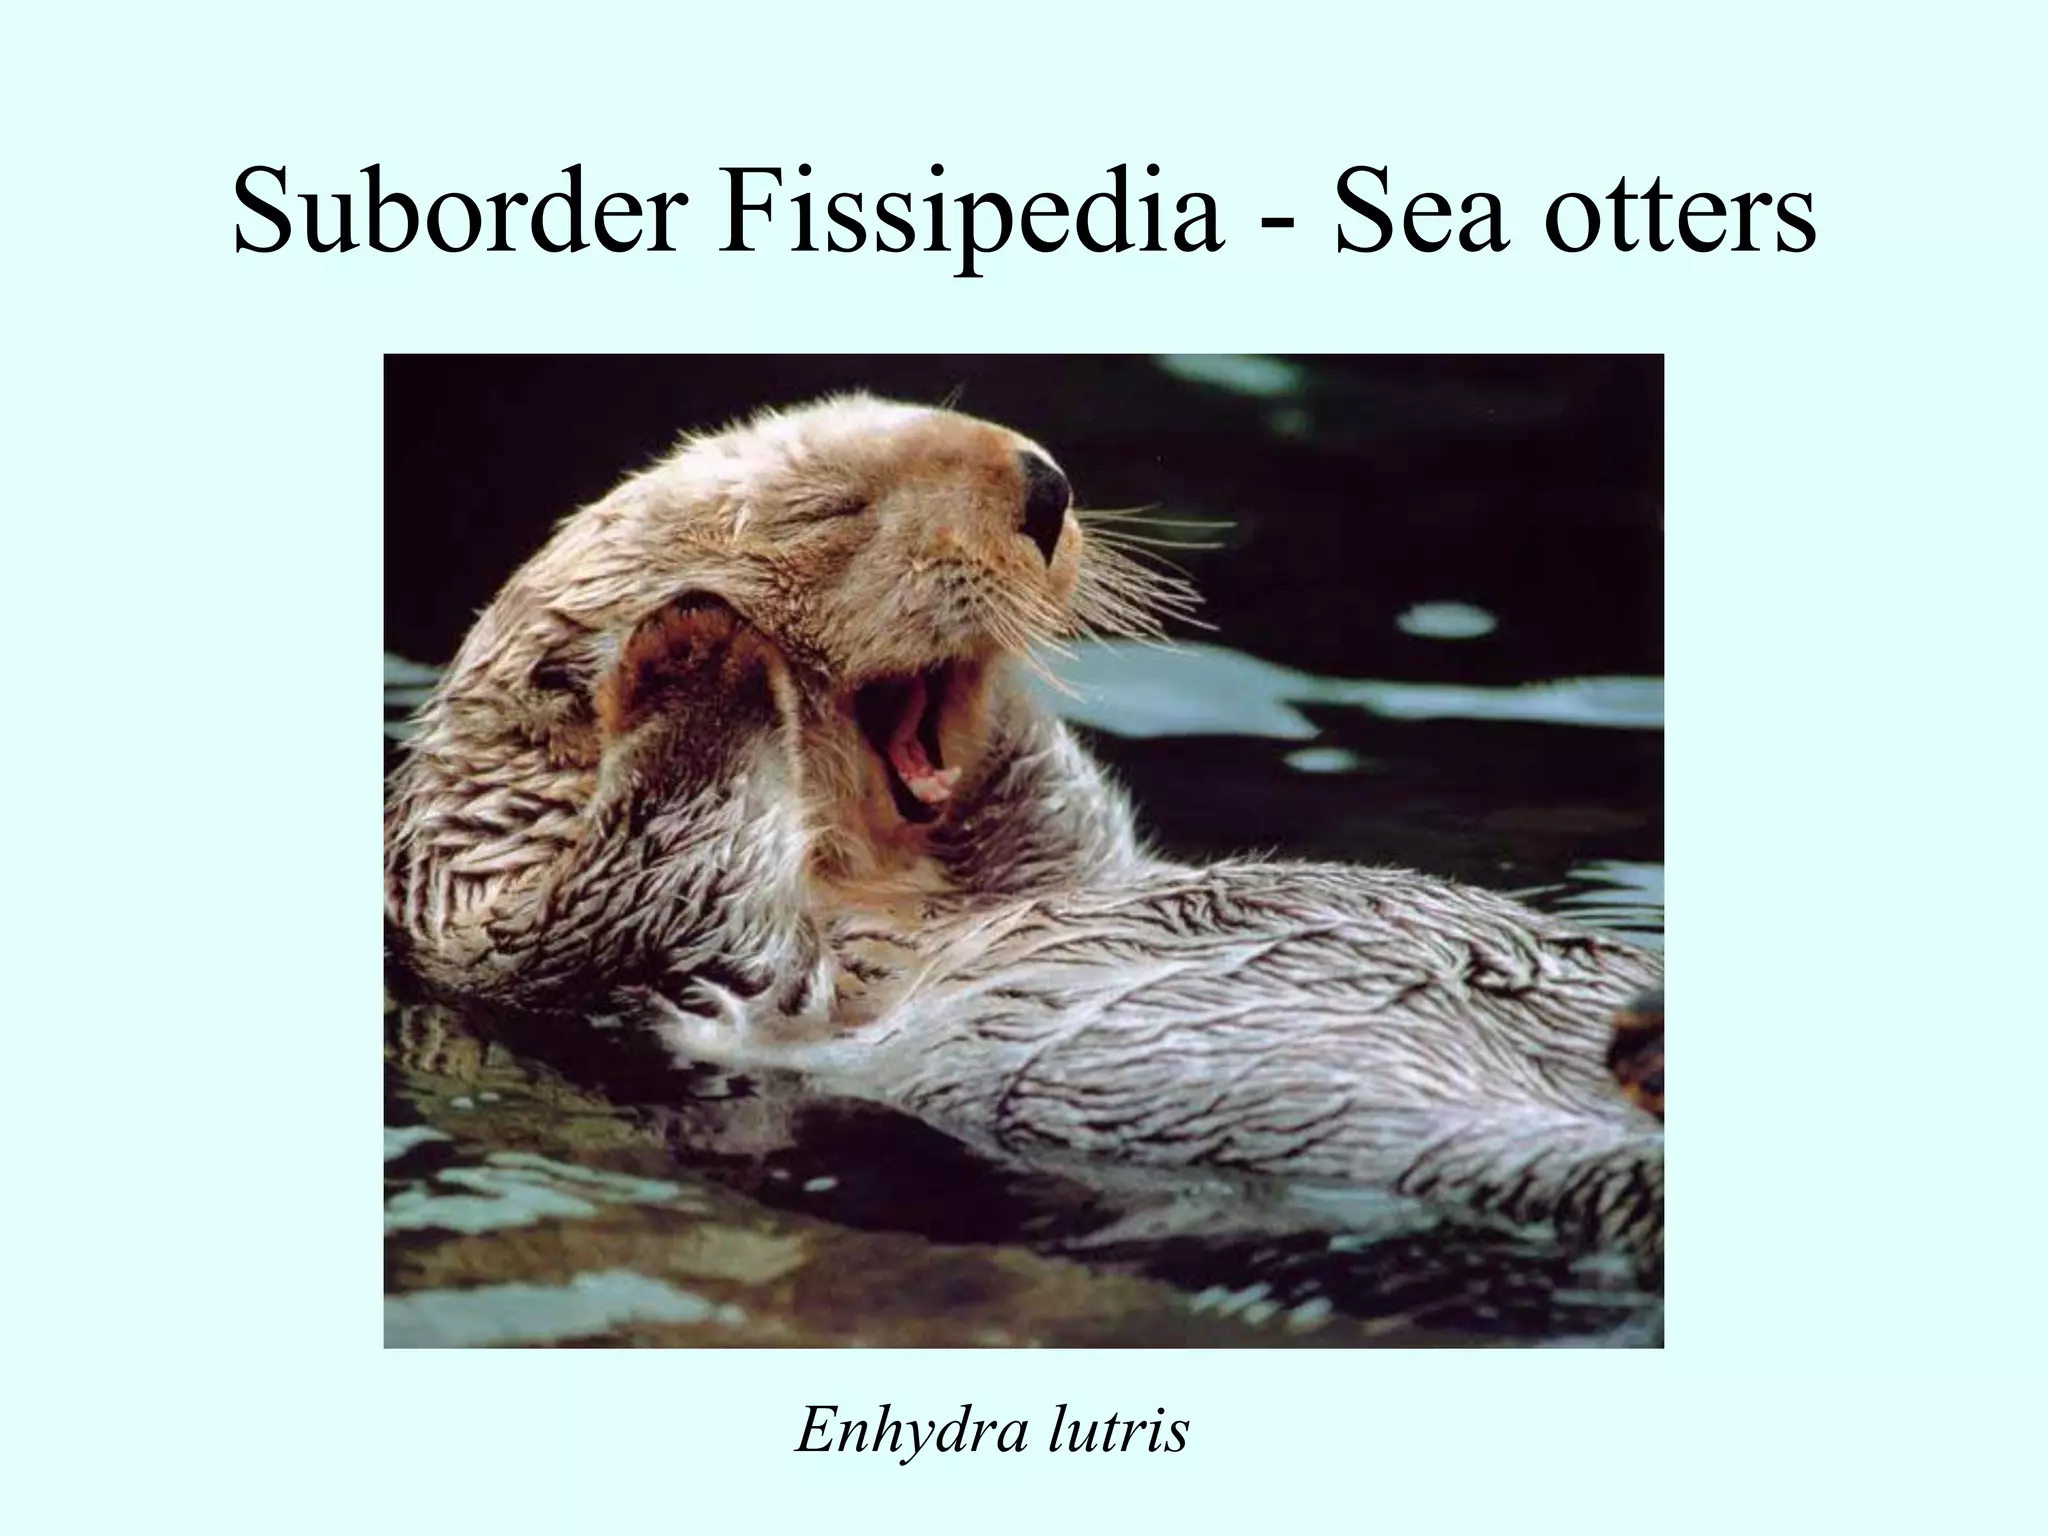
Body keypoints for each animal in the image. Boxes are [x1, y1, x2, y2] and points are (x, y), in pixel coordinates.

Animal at [384, 394, 1665, 1268]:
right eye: (827, 510)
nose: (1043, 484)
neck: (881, 884)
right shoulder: (594, 949)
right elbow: (653, 875)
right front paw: (694, 648)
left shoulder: (1056, 861)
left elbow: (1054, 816)